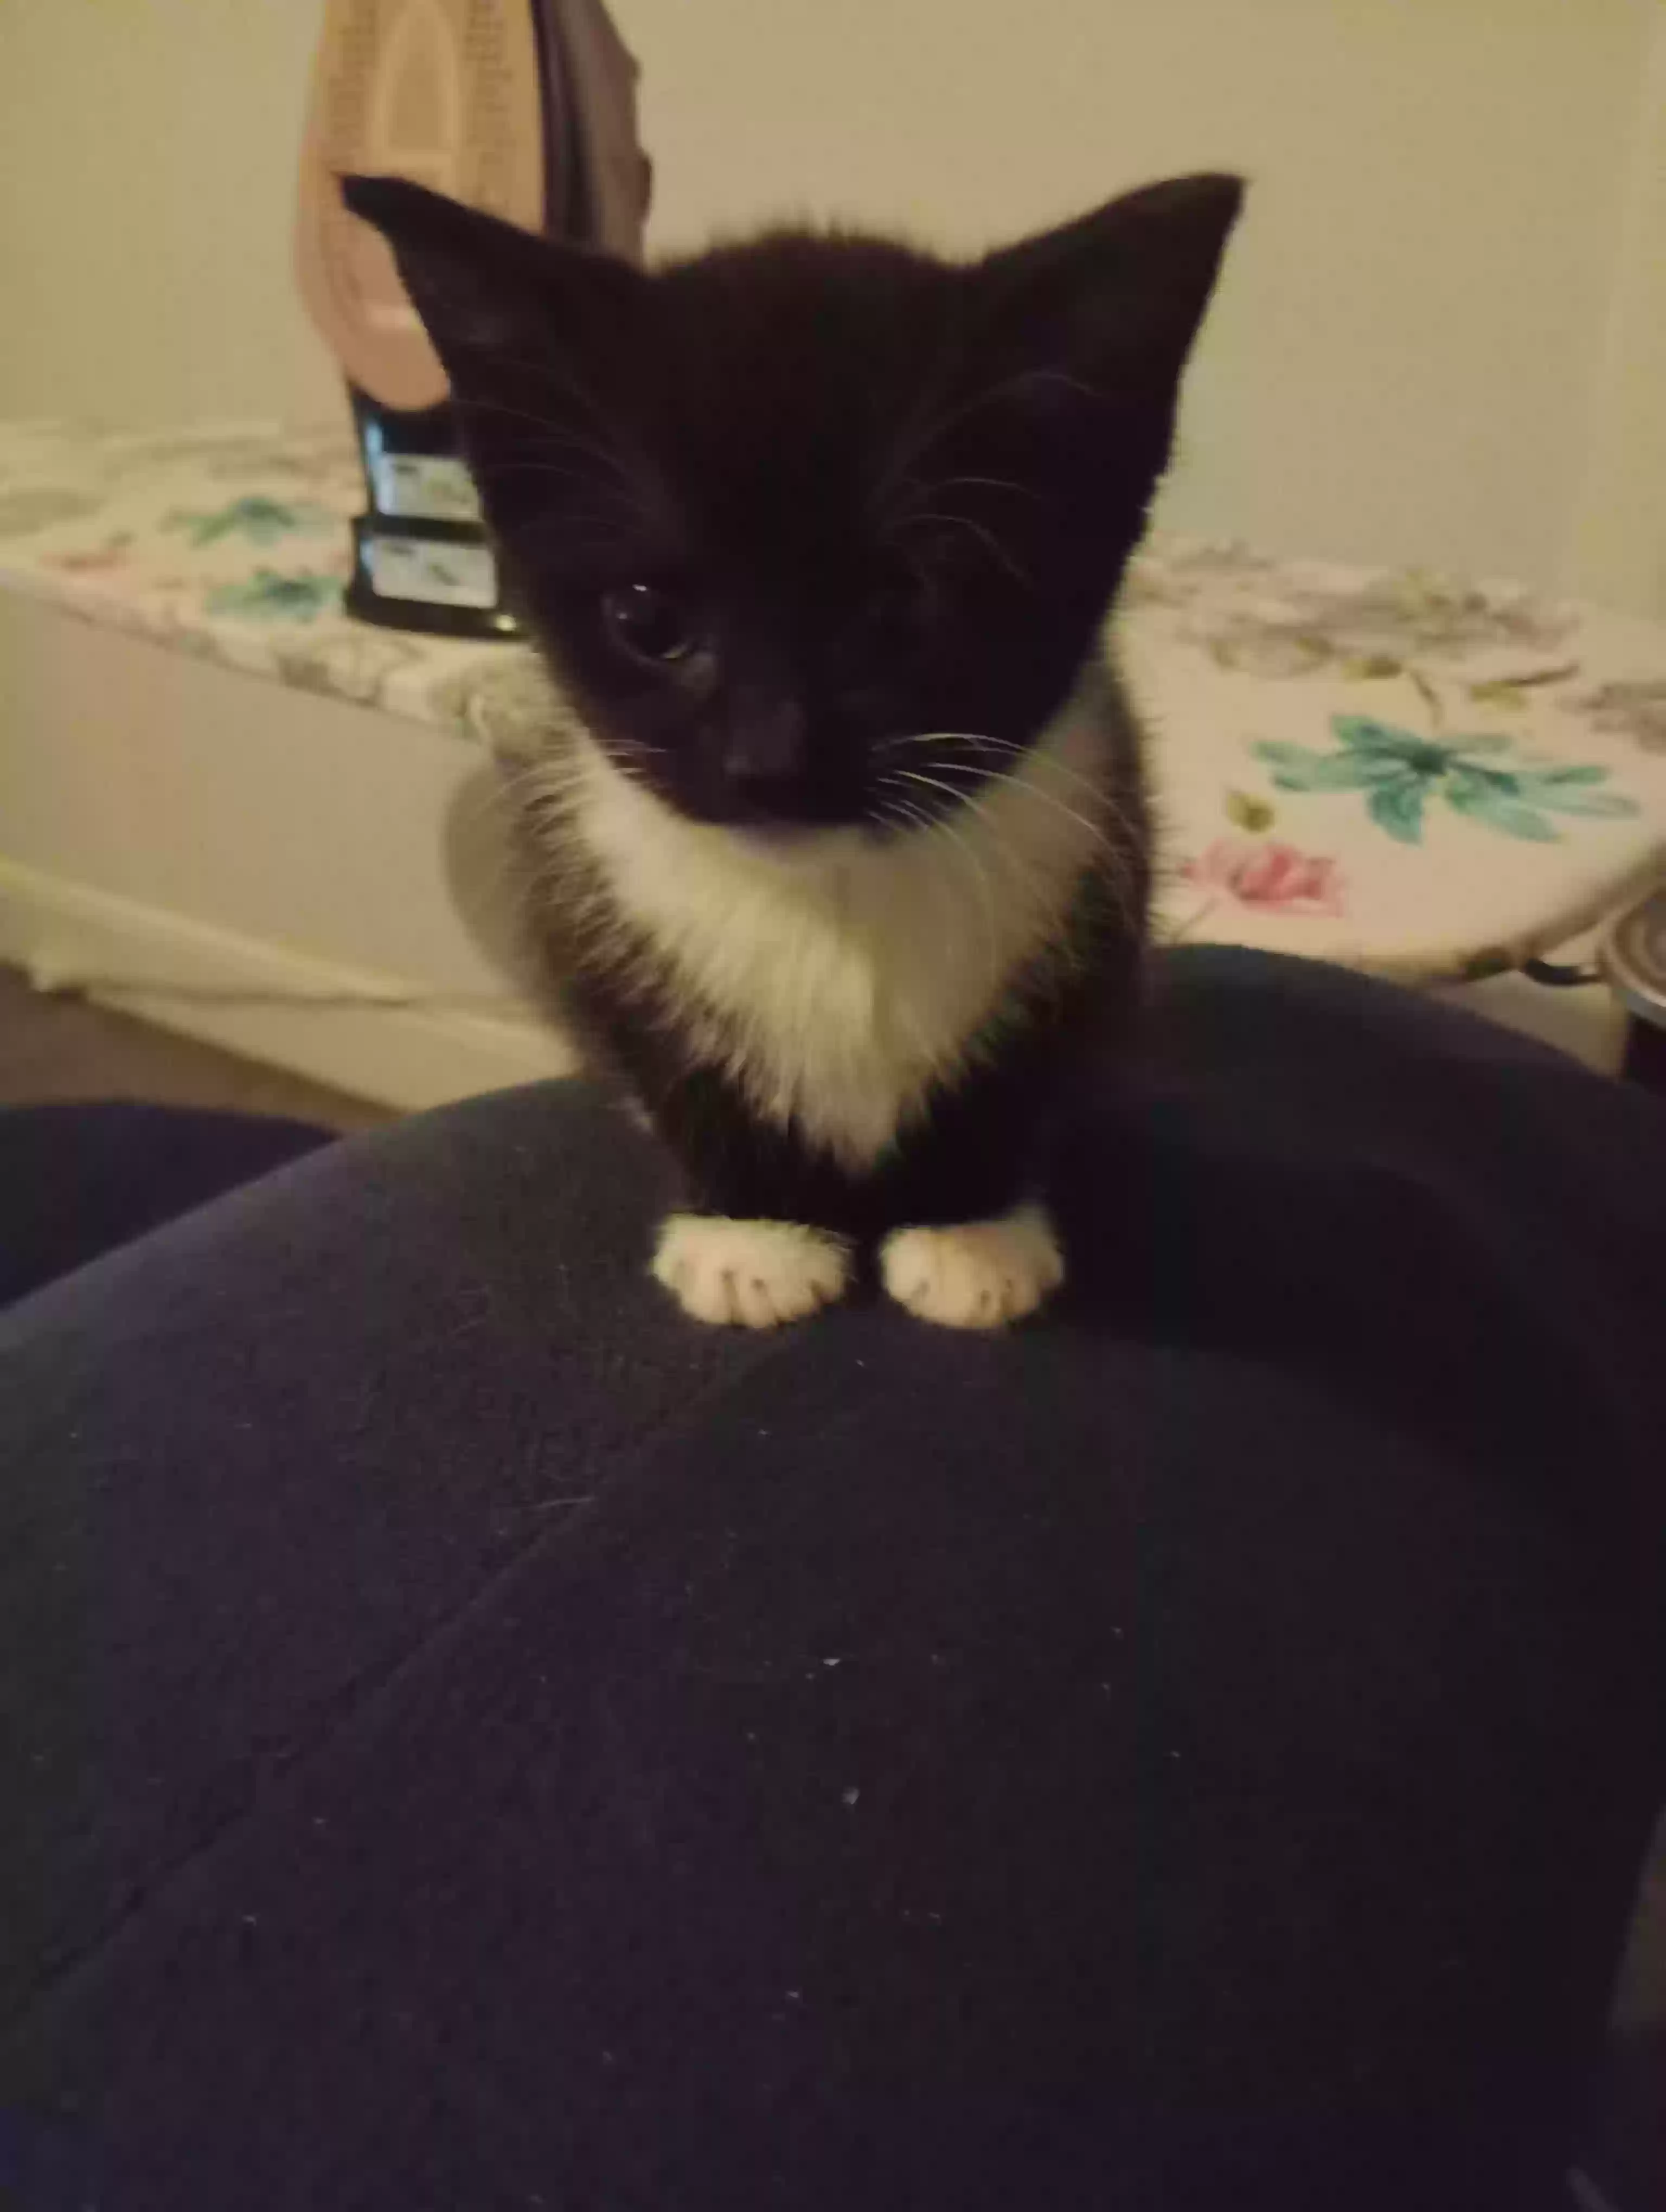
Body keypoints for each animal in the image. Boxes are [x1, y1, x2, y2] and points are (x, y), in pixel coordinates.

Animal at [345, 172, 1239, 1318]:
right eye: (647, 617)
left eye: (898, 609)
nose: (765, 761)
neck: (833, 899)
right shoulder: (582, 900)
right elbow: (672, 1065)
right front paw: (754, 1232)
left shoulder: (1097, 883)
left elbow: (1015, 1073)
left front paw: (968, 1228)